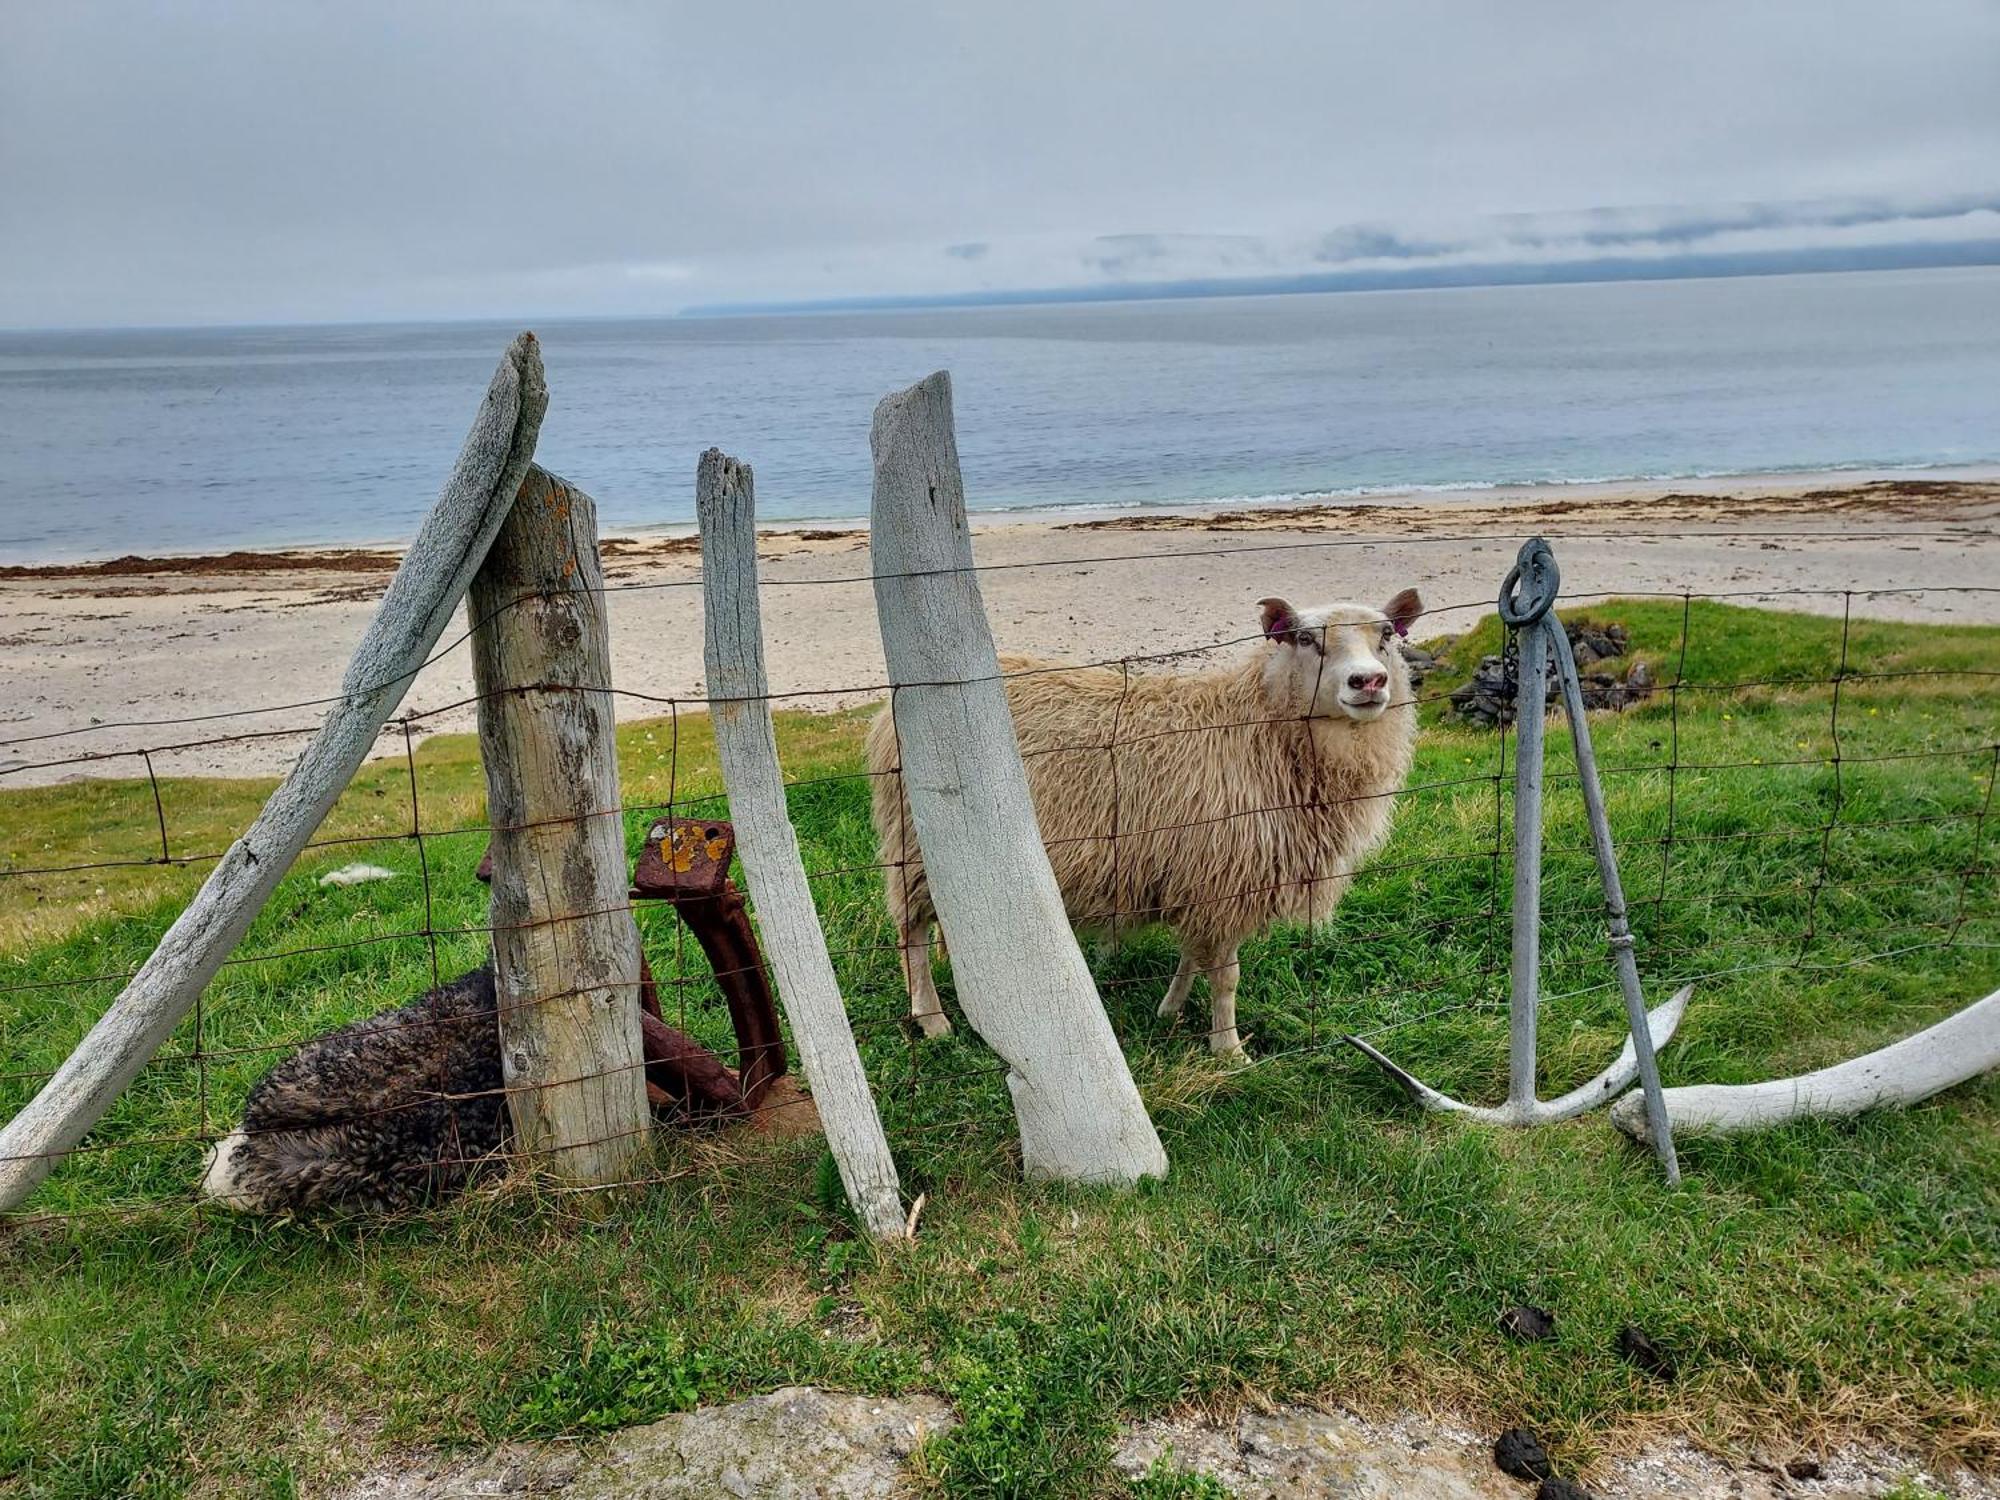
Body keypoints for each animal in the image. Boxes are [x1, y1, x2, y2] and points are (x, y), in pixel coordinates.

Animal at [872, 588, 1424, 1056]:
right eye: (1306, 639)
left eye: (1387, 635)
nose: (1369, 682)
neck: (1259, 728)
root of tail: (889, 709)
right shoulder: (1225, 878)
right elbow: (1226, 975)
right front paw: (1229, 1050)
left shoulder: (1203, 876)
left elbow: (1194, 956)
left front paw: (1170, 1010)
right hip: (916, 843)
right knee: (911, 929)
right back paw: (932, 1019)